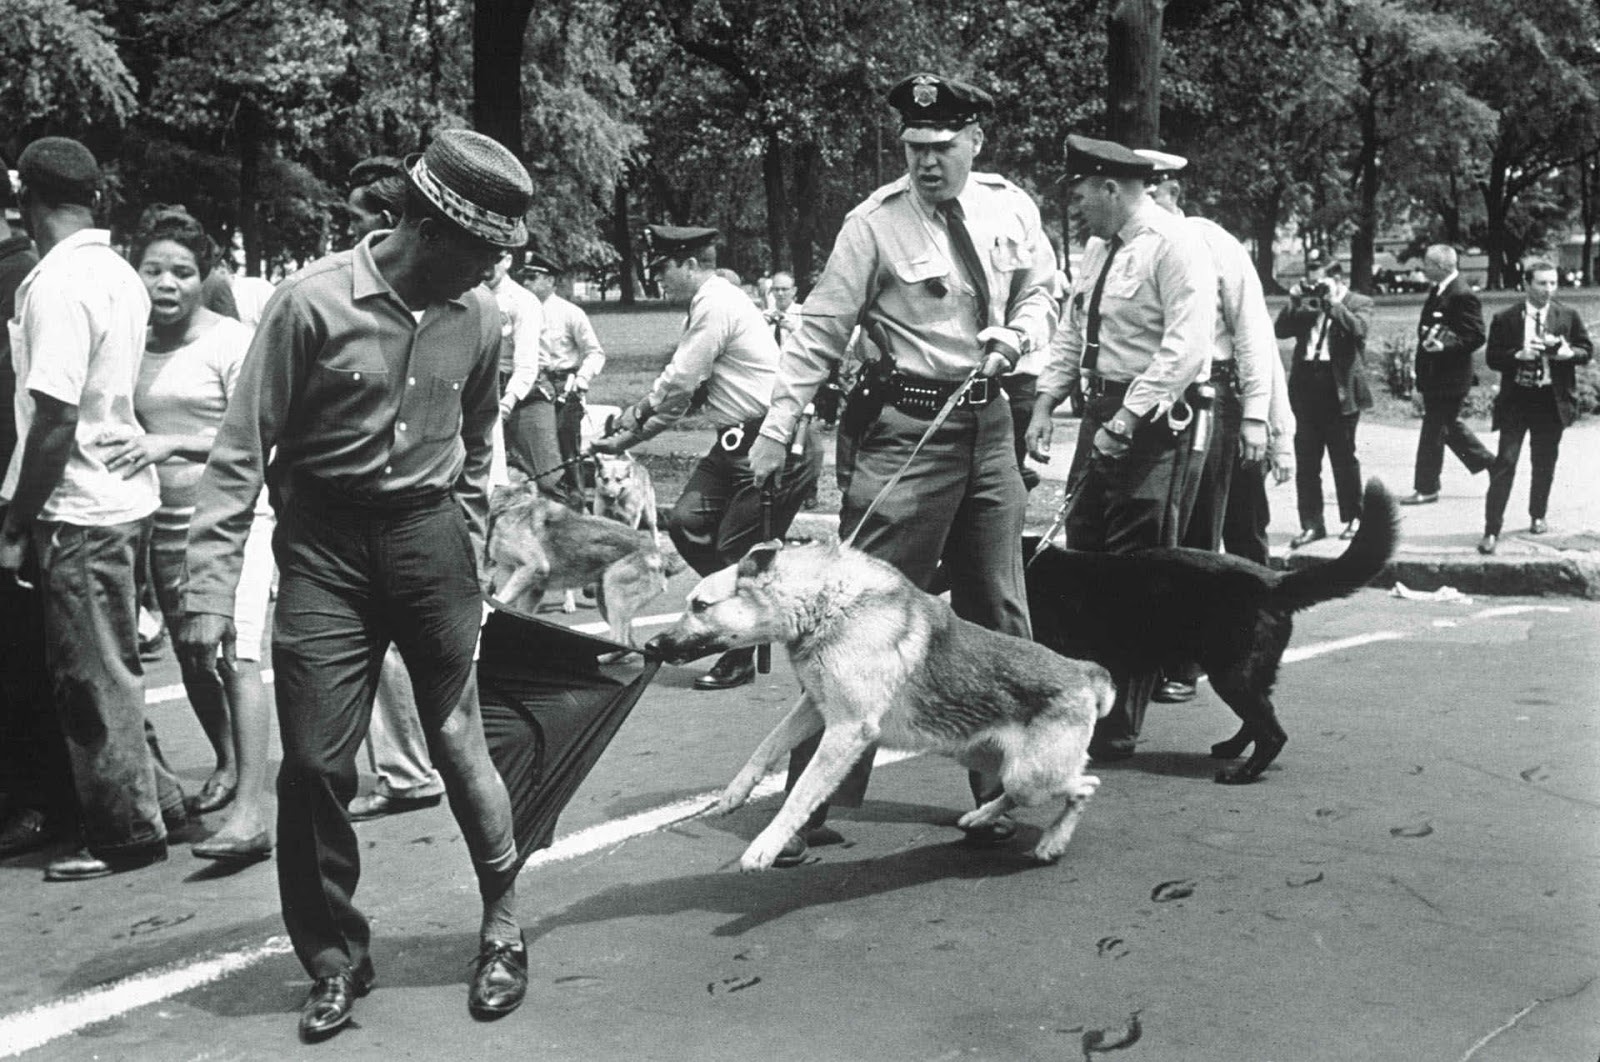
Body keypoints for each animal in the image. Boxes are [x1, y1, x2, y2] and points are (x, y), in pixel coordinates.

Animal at [483, 471, 669, 648]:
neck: (514, 504)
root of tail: (656, 551)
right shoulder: (530, 588)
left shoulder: (534, 568)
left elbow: (498, 601)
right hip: (606, 601)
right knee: (630, 642)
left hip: (615, 598)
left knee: (621, 641)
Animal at [645, 541, 1115, 871]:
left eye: (700, 606)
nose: (650, 646)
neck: (824, 605)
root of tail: (1083, 671)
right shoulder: (816, 707)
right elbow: (767, 746)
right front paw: (735, 792)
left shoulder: (847, 729)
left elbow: (800, 793)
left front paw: (766, 846)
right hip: (985, 758)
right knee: (1015, 794)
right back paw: (981, 816)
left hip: (1030, 775)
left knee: (1084, 787)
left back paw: (1052, 842)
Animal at [1024, 478, 1400, 784]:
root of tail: (1273, 581)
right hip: (1247, 674)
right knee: (1258, 719)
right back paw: (1231, 749)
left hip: (1232, 674)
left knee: (1272, 732)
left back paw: (1243, 774)